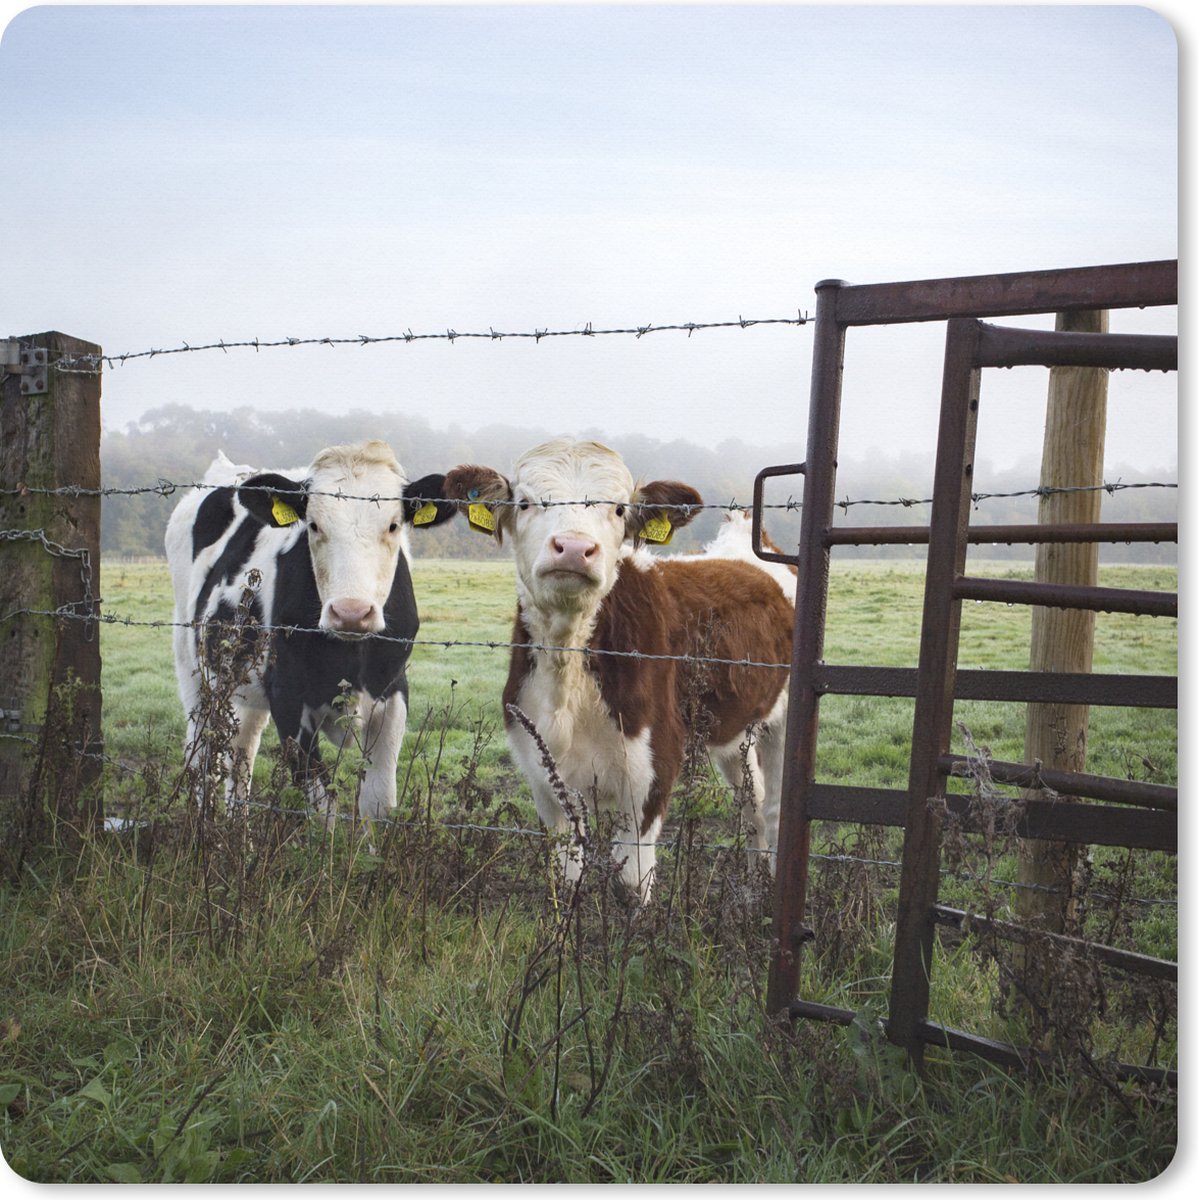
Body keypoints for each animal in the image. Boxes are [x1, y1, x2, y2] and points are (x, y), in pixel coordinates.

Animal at [165, 440, 457, 823]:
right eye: (313, 526)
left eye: (394, 525)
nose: (351, 612)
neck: (349, 658)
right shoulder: (287, 698)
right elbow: (322, 806)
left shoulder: (393, 692)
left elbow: (378, 802)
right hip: (194, 667)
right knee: (202, 750)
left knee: (242, 750)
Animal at [444, 438, 795, 901]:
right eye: (524, 502)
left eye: (618, 509)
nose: (574, 548)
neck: (566, 675)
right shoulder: (543, 776)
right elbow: (565, 877)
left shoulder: (653, 770)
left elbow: (632, 883)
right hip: (734, 730)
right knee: (750, 800)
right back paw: (753, 888)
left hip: (785, 719)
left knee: (773, 806)